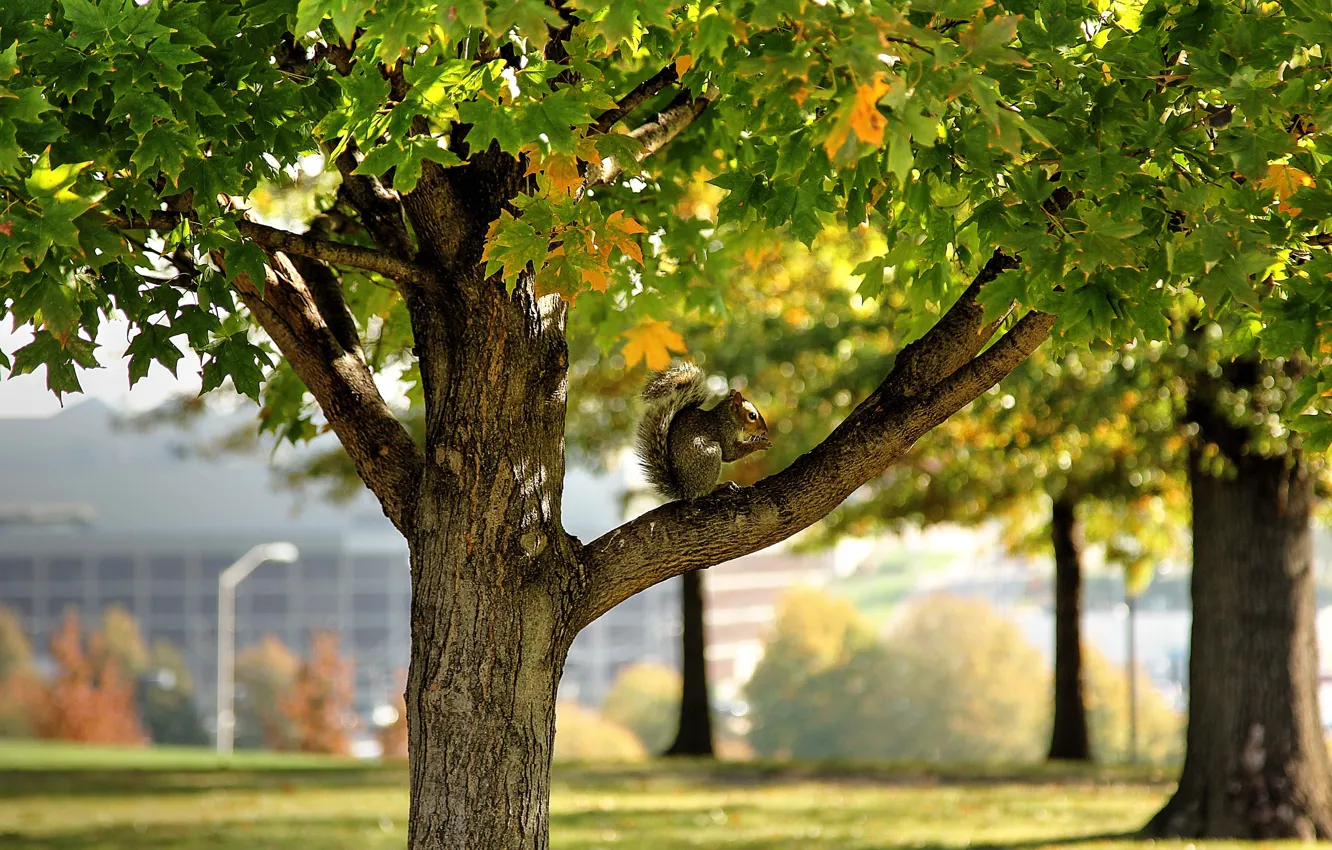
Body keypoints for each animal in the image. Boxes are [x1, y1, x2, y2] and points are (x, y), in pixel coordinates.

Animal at [635, 362, 772, 501]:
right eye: (752, 416)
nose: (765, 431)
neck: (728, 417)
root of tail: (685, 491)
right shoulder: (723, 431)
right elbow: (730, 453)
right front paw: (760, 444)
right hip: (710, 454)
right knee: (703, 491)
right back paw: (719, 486)